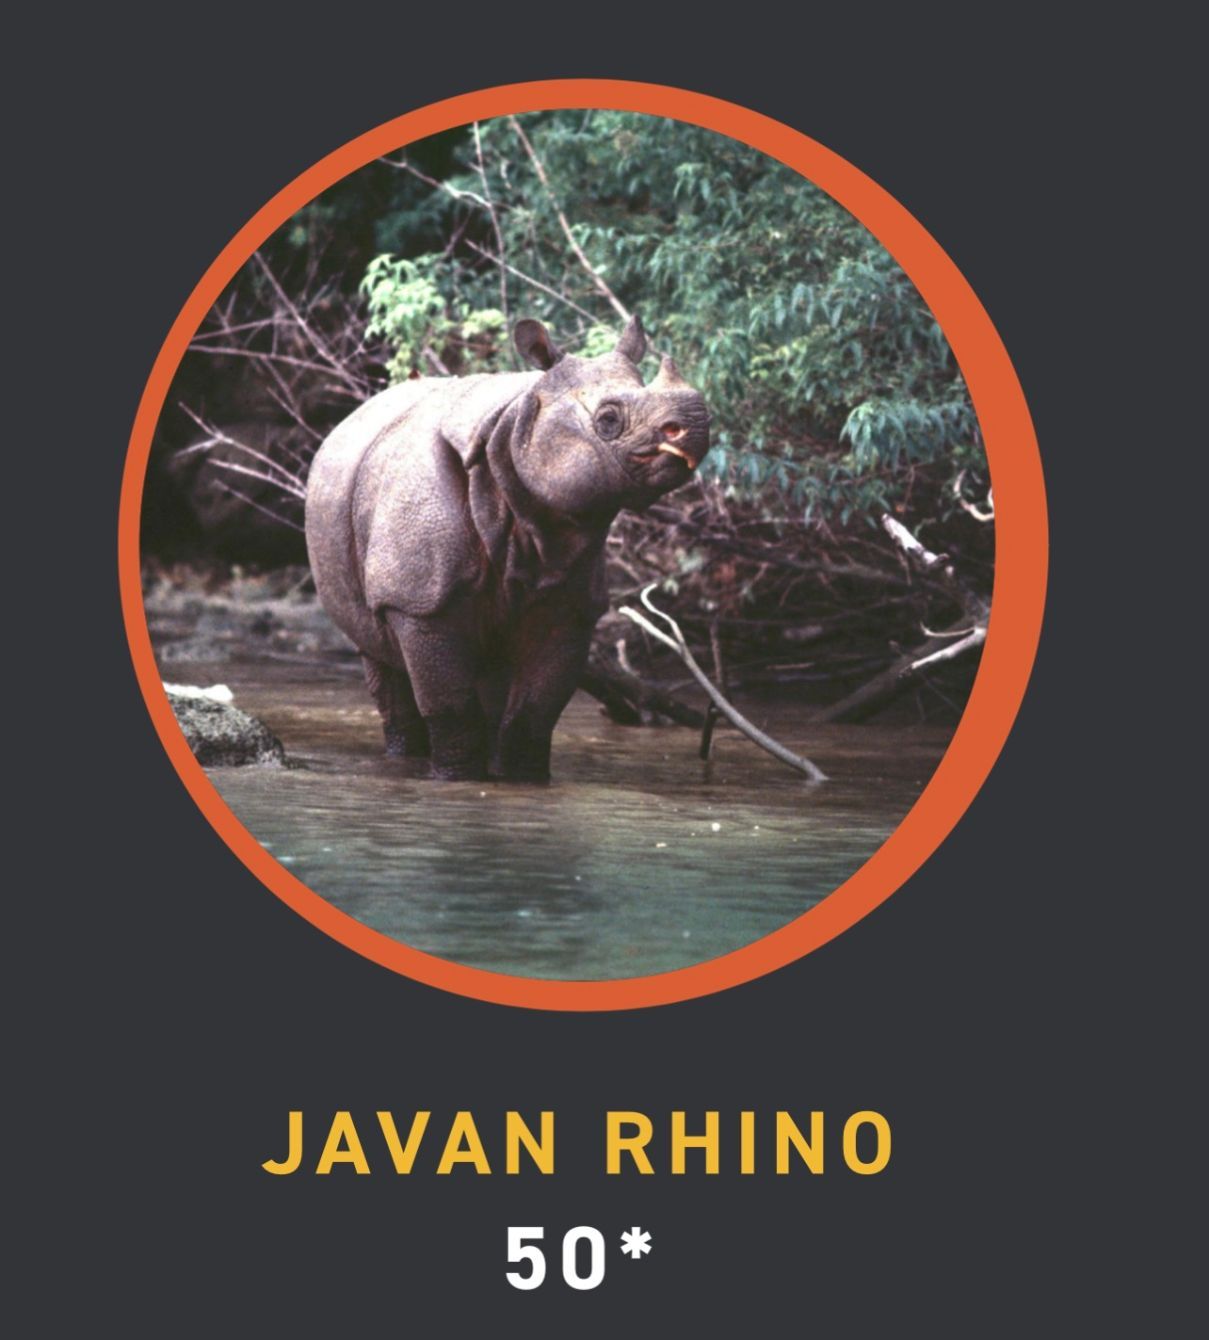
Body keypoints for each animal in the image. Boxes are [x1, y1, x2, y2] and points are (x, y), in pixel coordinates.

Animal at [305, 315, 710, 780]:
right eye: (607, 419)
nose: (697, 426)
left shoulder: (570, 604)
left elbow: (535, 710)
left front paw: (523, 780)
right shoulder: (418, 599)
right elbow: (449, 705)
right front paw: (456, 778)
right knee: (378, 654)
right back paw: (404, 757)